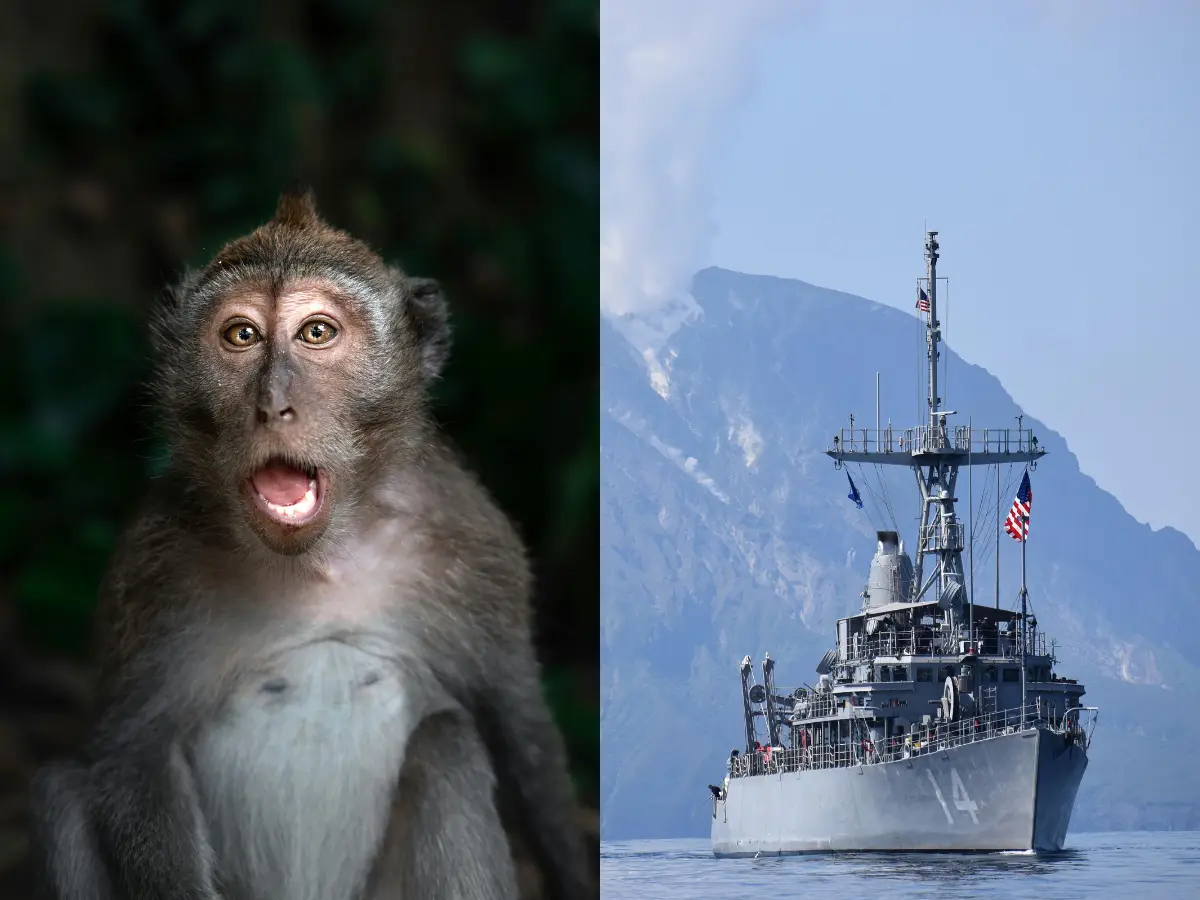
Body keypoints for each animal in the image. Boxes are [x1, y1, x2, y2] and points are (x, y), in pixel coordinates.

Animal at [28, 187, 596, 900]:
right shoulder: (154, 570)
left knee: (449, 743)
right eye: (241, 335)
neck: (318, 563)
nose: (272, 404)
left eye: (317, 332)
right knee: (60, 789)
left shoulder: (473, 547)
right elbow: (133, 751)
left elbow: (520, 729)